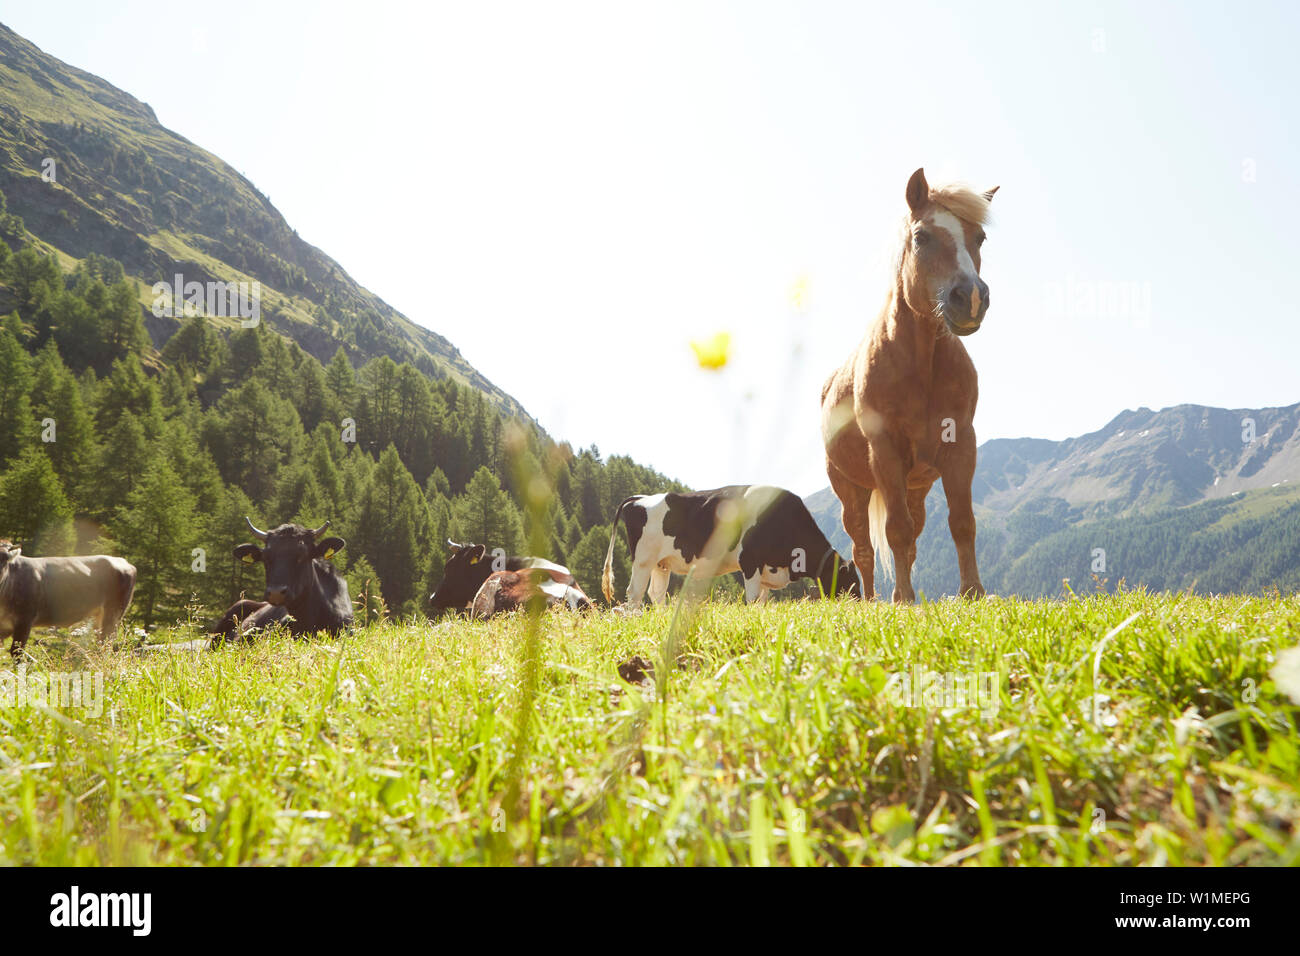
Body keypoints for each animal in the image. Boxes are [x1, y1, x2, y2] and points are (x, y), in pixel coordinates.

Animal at [820, 167, 997, 603]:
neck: (921, 368)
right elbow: (895, 530)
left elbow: (962, 522)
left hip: (916, 486)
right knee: (863, 549)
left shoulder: (960, 447)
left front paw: (972, 591)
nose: (970, 298)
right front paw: (902, 598)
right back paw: (871, 600)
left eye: (980, 237)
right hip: (851, 490)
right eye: (922, 236)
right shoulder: (885, 453)